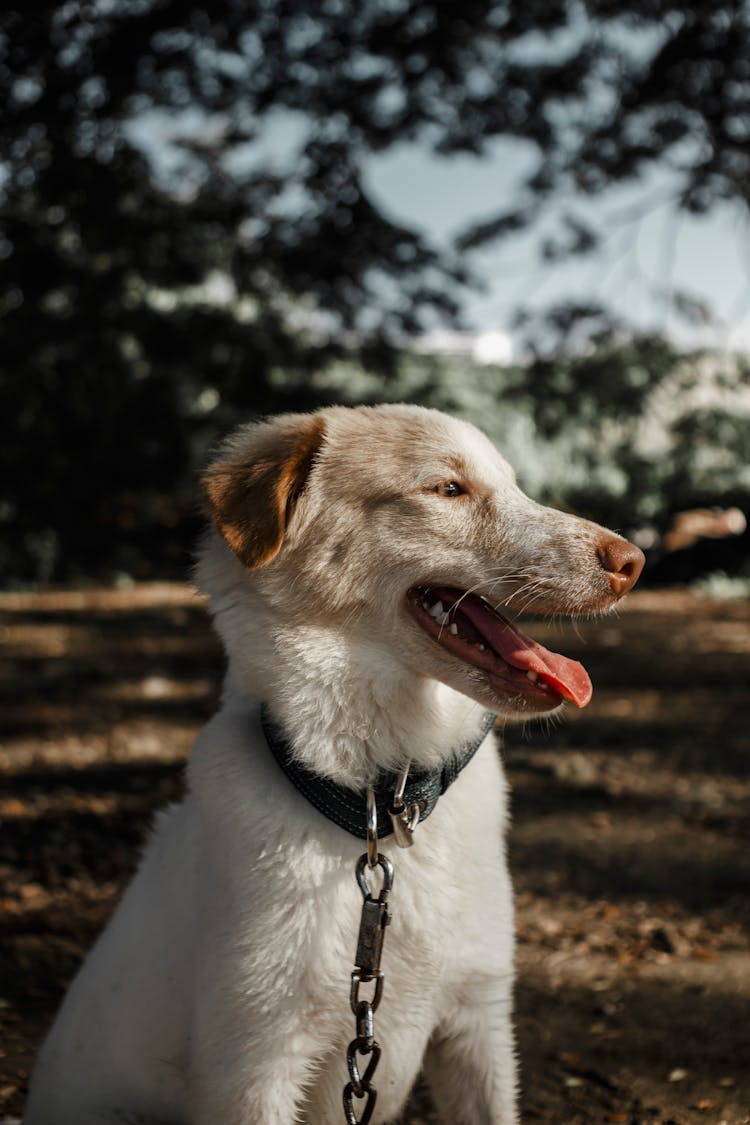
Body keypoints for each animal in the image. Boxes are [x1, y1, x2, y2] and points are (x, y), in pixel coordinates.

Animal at [24, 407, 647, 1125]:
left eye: (515, 485)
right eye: (448, 489)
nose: (634, 562)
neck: (384, 803)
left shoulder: (478, 1025)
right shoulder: (254, 1068)